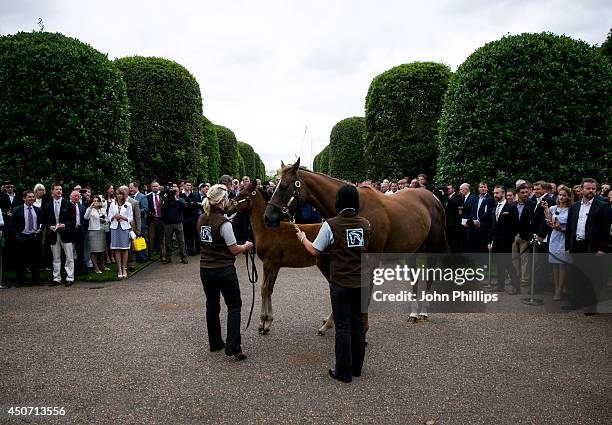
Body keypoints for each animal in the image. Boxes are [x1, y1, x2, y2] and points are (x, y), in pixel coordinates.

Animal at [264, 158, 450, 322]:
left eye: (283, 186)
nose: (267, 217)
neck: (355, 207)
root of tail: (433, 197)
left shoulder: (372, 259)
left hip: (432, 246)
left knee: (430, 275)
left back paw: (423, 312)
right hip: (412, 249)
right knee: (415, 278)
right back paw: (413, 314)